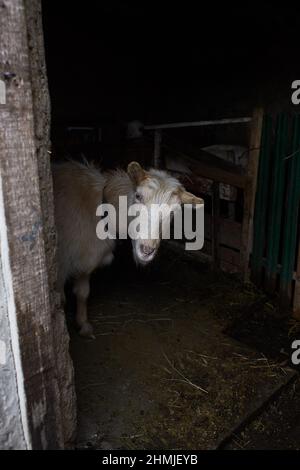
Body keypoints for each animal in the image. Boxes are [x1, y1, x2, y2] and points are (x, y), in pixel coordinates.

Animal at [52, 162, 202, 338]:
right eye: (138, 196)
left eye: (174, 212)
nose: (147, 250)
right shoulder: (60, 266)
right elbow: (60, 301)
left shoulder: (85, 263)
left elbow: (83, 293)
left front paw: (83, 324)